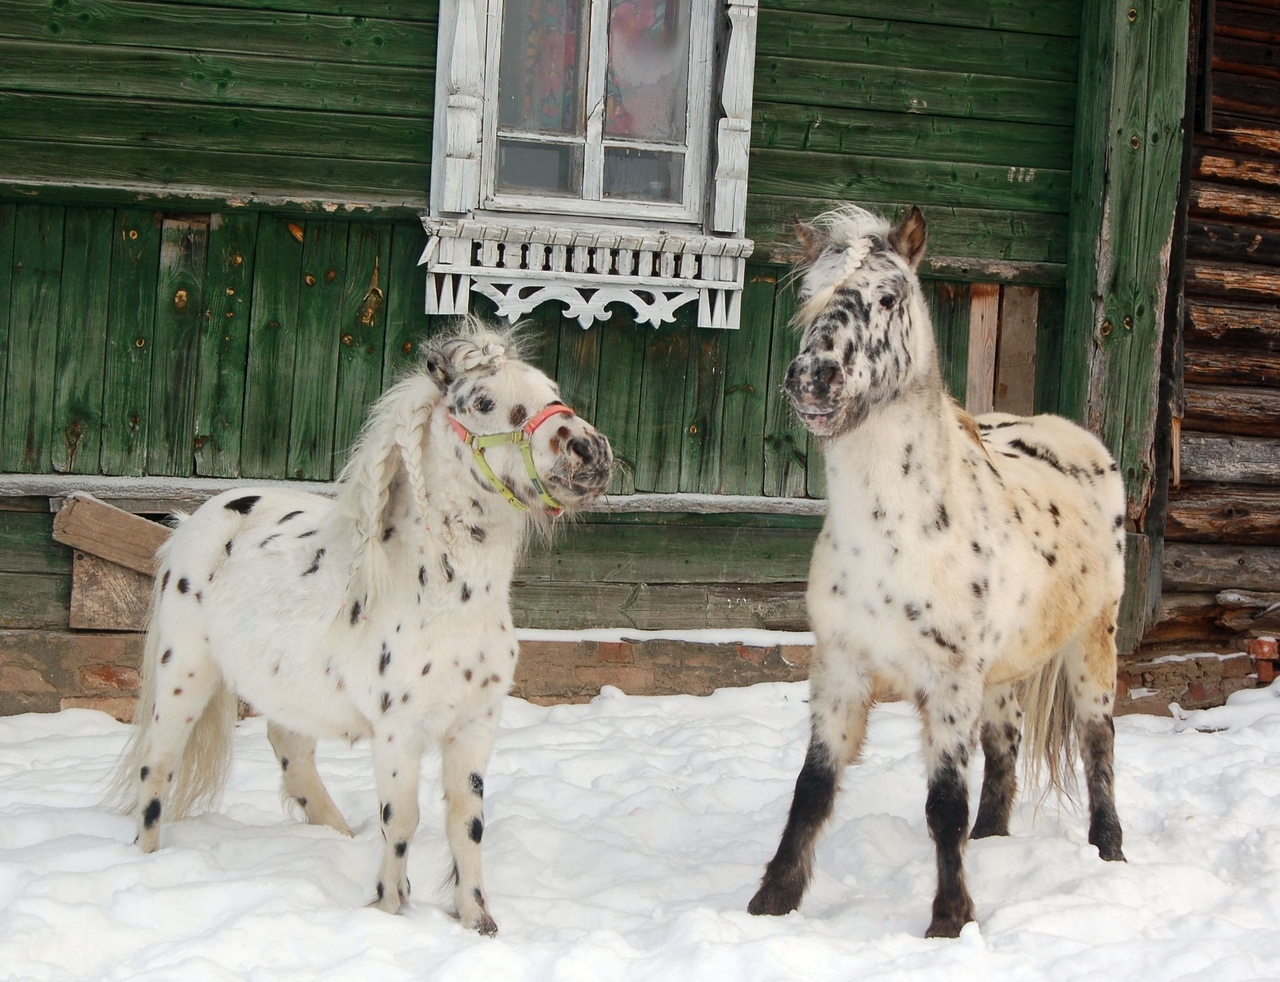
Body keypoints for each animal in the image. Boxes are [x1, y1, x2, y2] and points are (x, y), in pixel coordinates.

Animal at [108, 317, 609, 937]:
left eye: (551, 389)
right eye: (484, 402)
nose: (589, 450)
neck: (444, 599)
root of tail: (192, 521)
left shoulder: (475, 725)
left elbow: (467, 822)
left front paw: (477, 920)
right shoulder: (398, 731)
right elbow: (403, 819)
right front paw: (391, 907)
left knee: (292, 753)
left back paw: (337, 836)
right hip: (185, 674)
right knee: (158, 768)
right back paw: (148, 861)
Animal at [747, 204, 1126, 937]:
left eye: (889, 298)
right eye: (811, 295)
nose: (812, 379)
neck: (898, 538)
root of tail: (1075, 438)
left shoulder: (948, 681)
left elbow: (944, 802)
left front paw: (950, 920)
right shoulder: (840, 668)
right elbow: (812, 789)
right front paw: (772, 900)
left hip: (1092, 643)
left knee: (1098, 740)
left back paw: (1110, 853)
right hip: (1002, 672)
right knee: (1005, 747)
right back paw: (994, 840)